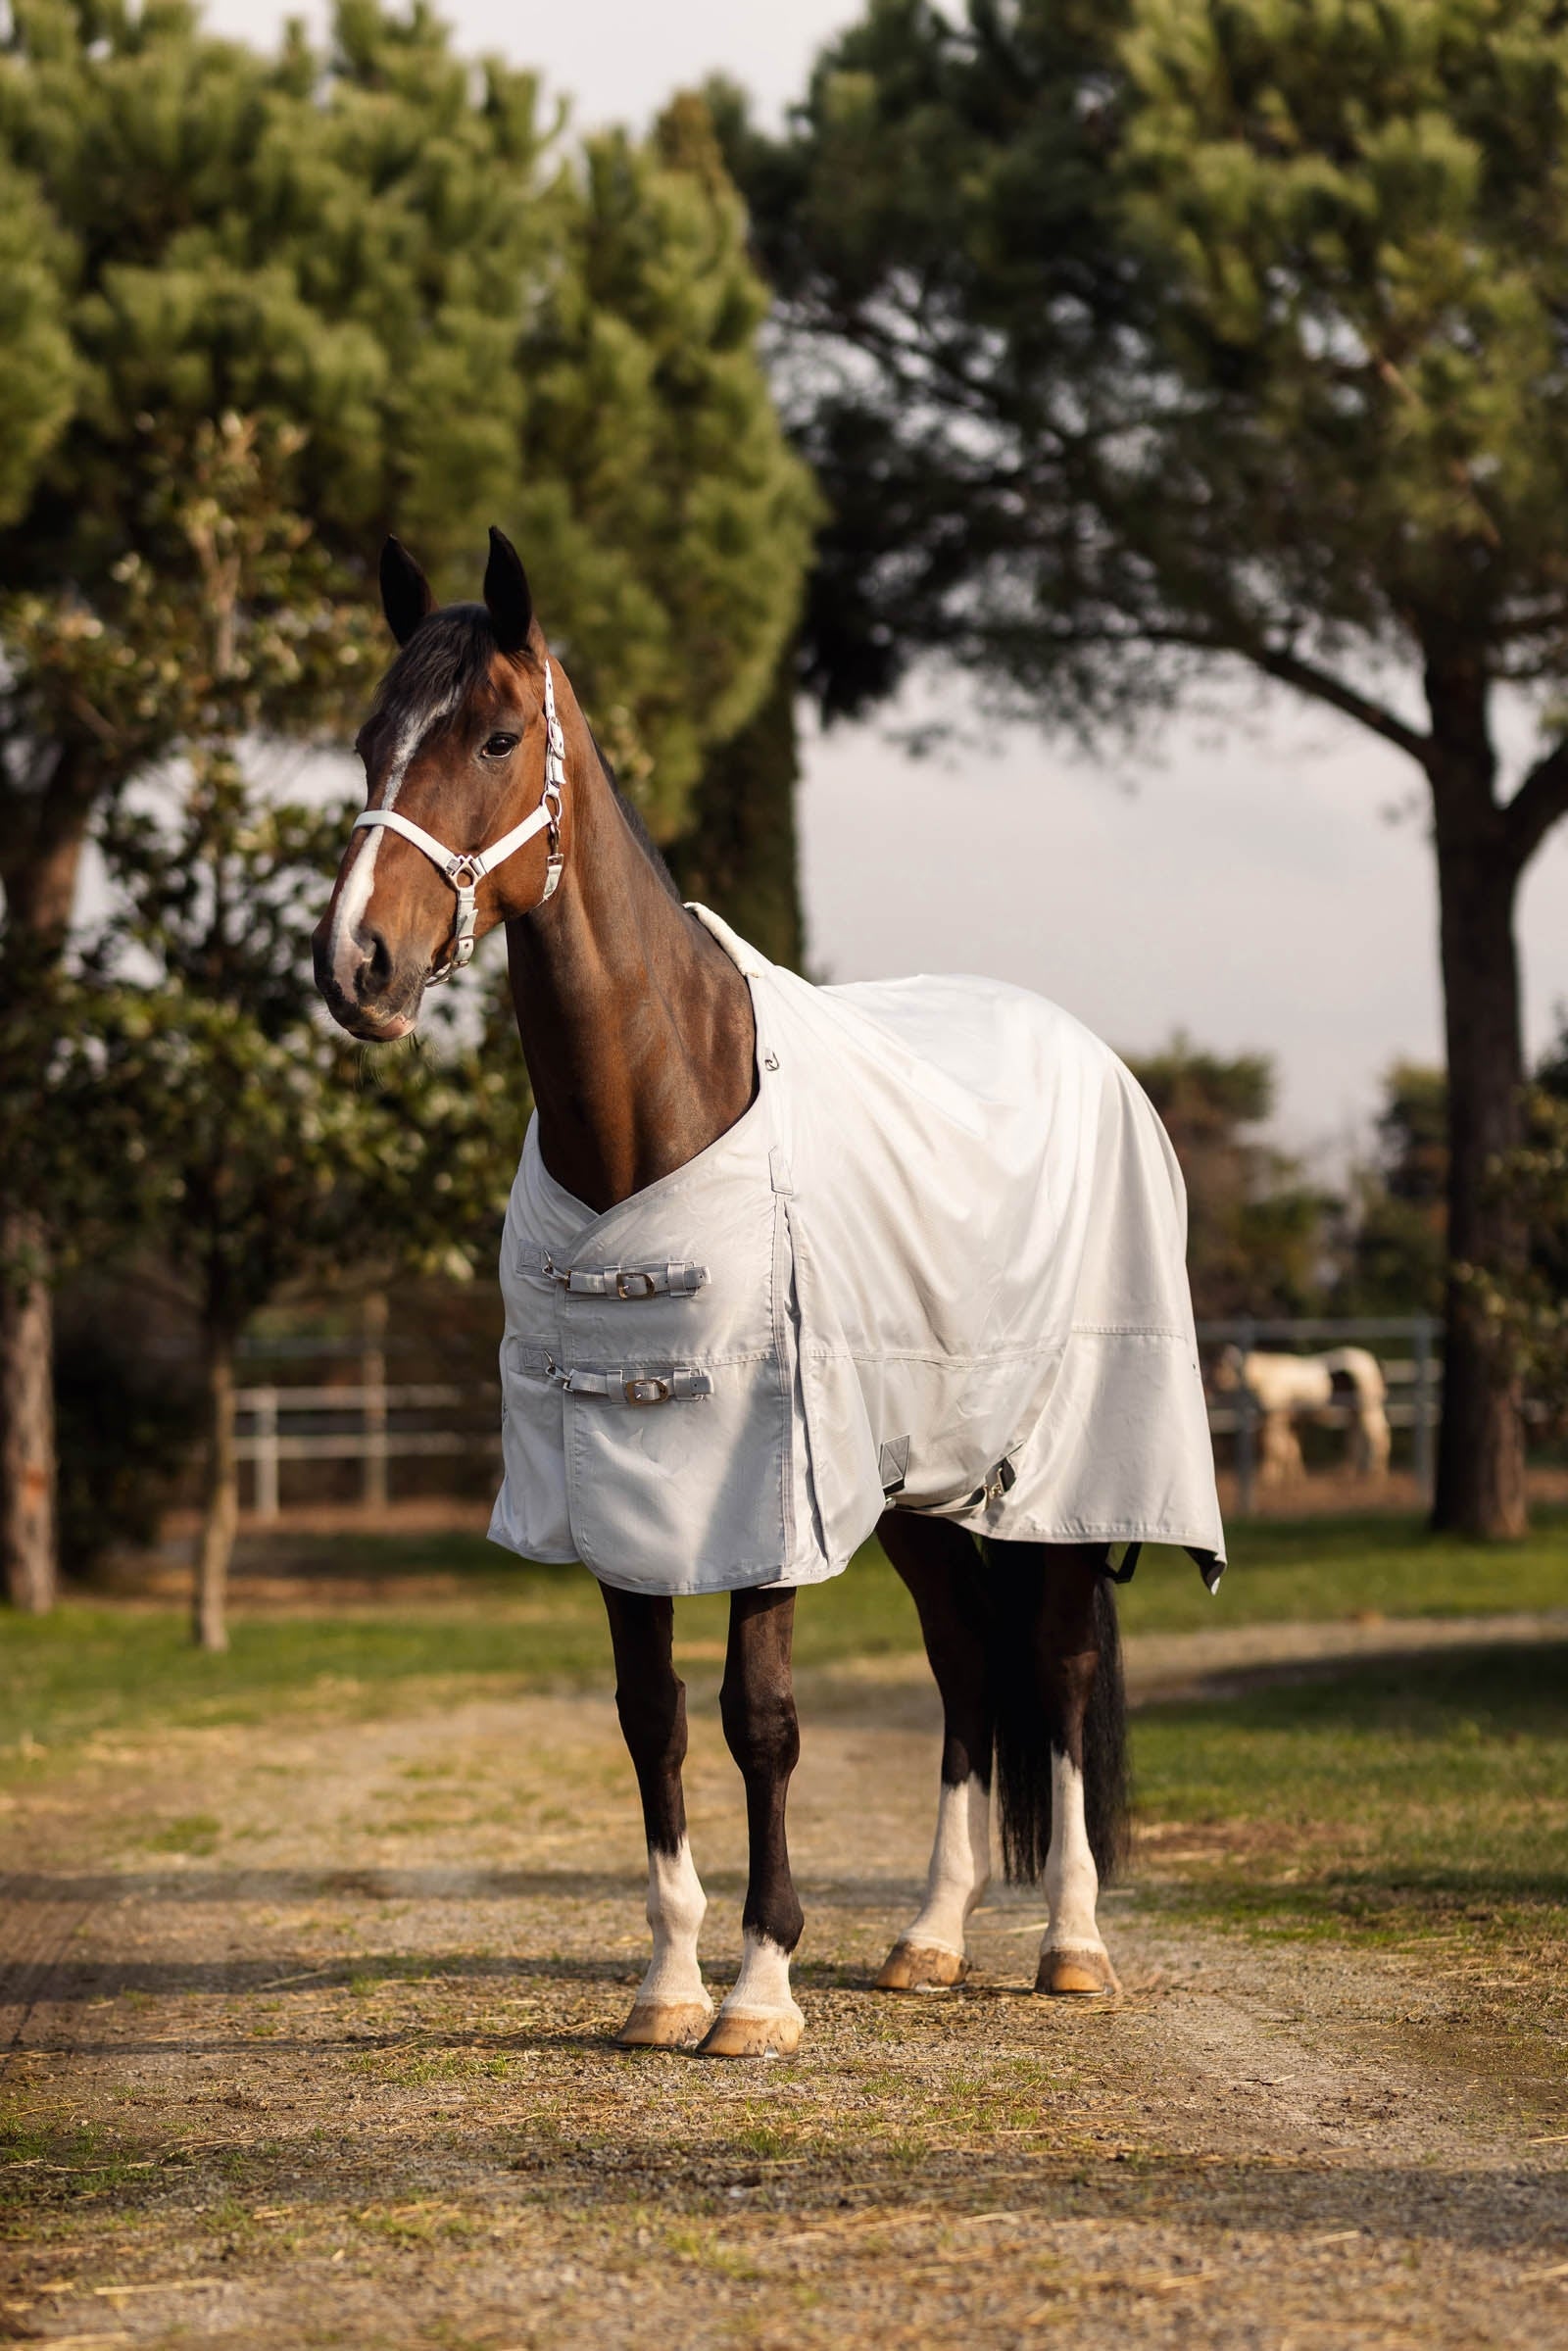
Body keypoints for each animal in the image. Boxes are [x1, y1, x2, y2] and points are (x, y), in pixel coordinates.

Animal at [313, 529, 1225, 2059]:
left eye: (494, 735)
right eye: (369, 741)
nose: (354, 964)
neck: (656, 1108)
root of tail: (1093, 1055)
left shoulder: (768, 1495)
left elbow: (763, 1716)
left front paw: (758, 1983)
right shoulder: (623, 1490)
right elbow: (653, 1714)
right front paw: (666, 1982)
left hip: (1059, 1476)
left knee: (1053, 1666)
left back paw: (1072, 1941)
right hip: (920, 1486)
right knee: (965, 1664)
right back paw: (928, 1938)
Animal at [1212, 1345, 1391, 1485]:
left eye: (1221, 1366)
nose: (1211, 1385)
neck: (1266, 1377)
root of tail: (1372, 1361)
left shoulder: (1276, 1418)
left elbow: (1274, 1446)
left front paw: (1269, 1477)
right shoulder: (1291, 1420)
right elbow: (1292, 1447)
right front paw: (1295, 1477)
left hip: (1368, 1408)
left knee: (1378, 1435)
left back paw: (1377, 1473)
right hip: (1355, 1412)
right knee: (1356, 1439)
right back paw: (1350, 1473)